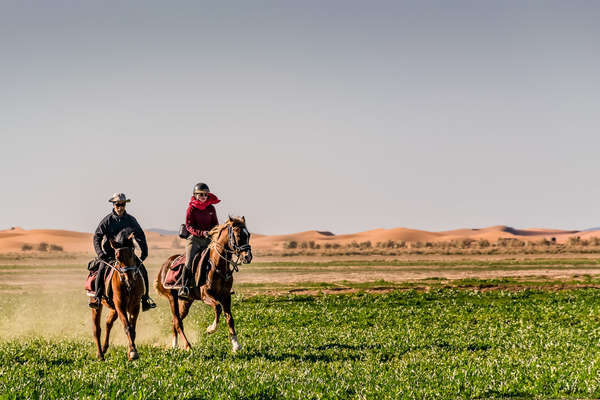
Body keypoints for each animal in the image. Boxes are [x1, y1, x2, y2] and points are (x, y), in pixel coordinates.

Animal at [91, 228, 145, 362]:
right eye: (117, 256)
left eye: (132, 253)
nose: (129, 279)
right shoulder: (120, 305)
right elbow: (127, 327)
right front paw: (133, 352)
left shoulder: (135, 306)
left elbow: (132, 329)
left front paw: (131, 352)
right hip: (97, 306)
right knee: (96, 329)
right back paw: (100, 354)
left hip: (113, 309)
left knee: (108, 323)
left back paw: (104, 348)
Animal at [156, 217, 252, 352]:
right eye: (238, 235)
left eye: (248, 235)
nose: (248, 256)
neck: (217, 265)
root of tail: (164, 267)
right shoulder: (205, 295)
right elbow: (217, 308)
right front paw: (210, 329)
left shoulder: (226, 296)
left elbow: (230, 318)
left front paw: (236, 345)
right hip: (172, 298)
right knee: (177, 321)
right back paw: (187, 346)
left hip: (186, 301)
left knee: (175, 320)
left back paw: (175, 345)